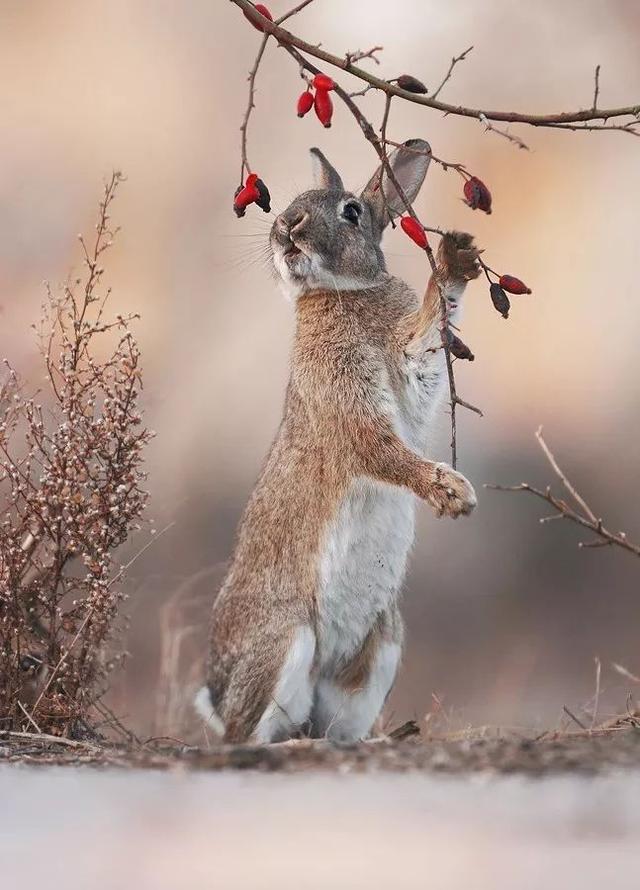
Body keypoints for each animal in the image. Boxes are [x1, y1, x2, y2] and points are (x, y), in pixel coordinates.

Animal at [195, 139, 480, 744]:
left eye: (351, 211)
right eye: (294, 201)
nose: (287, 224)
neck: (342, 293)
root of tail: (216, 693)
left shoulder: (410, 373)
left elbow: (426, 343)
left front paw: (458, 259)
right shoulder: (346, 400)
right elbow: (379, 448)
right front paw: (452, 492)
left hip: (380, 648)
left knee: (330, 729)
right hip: (284, 642)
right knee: (248, 738)